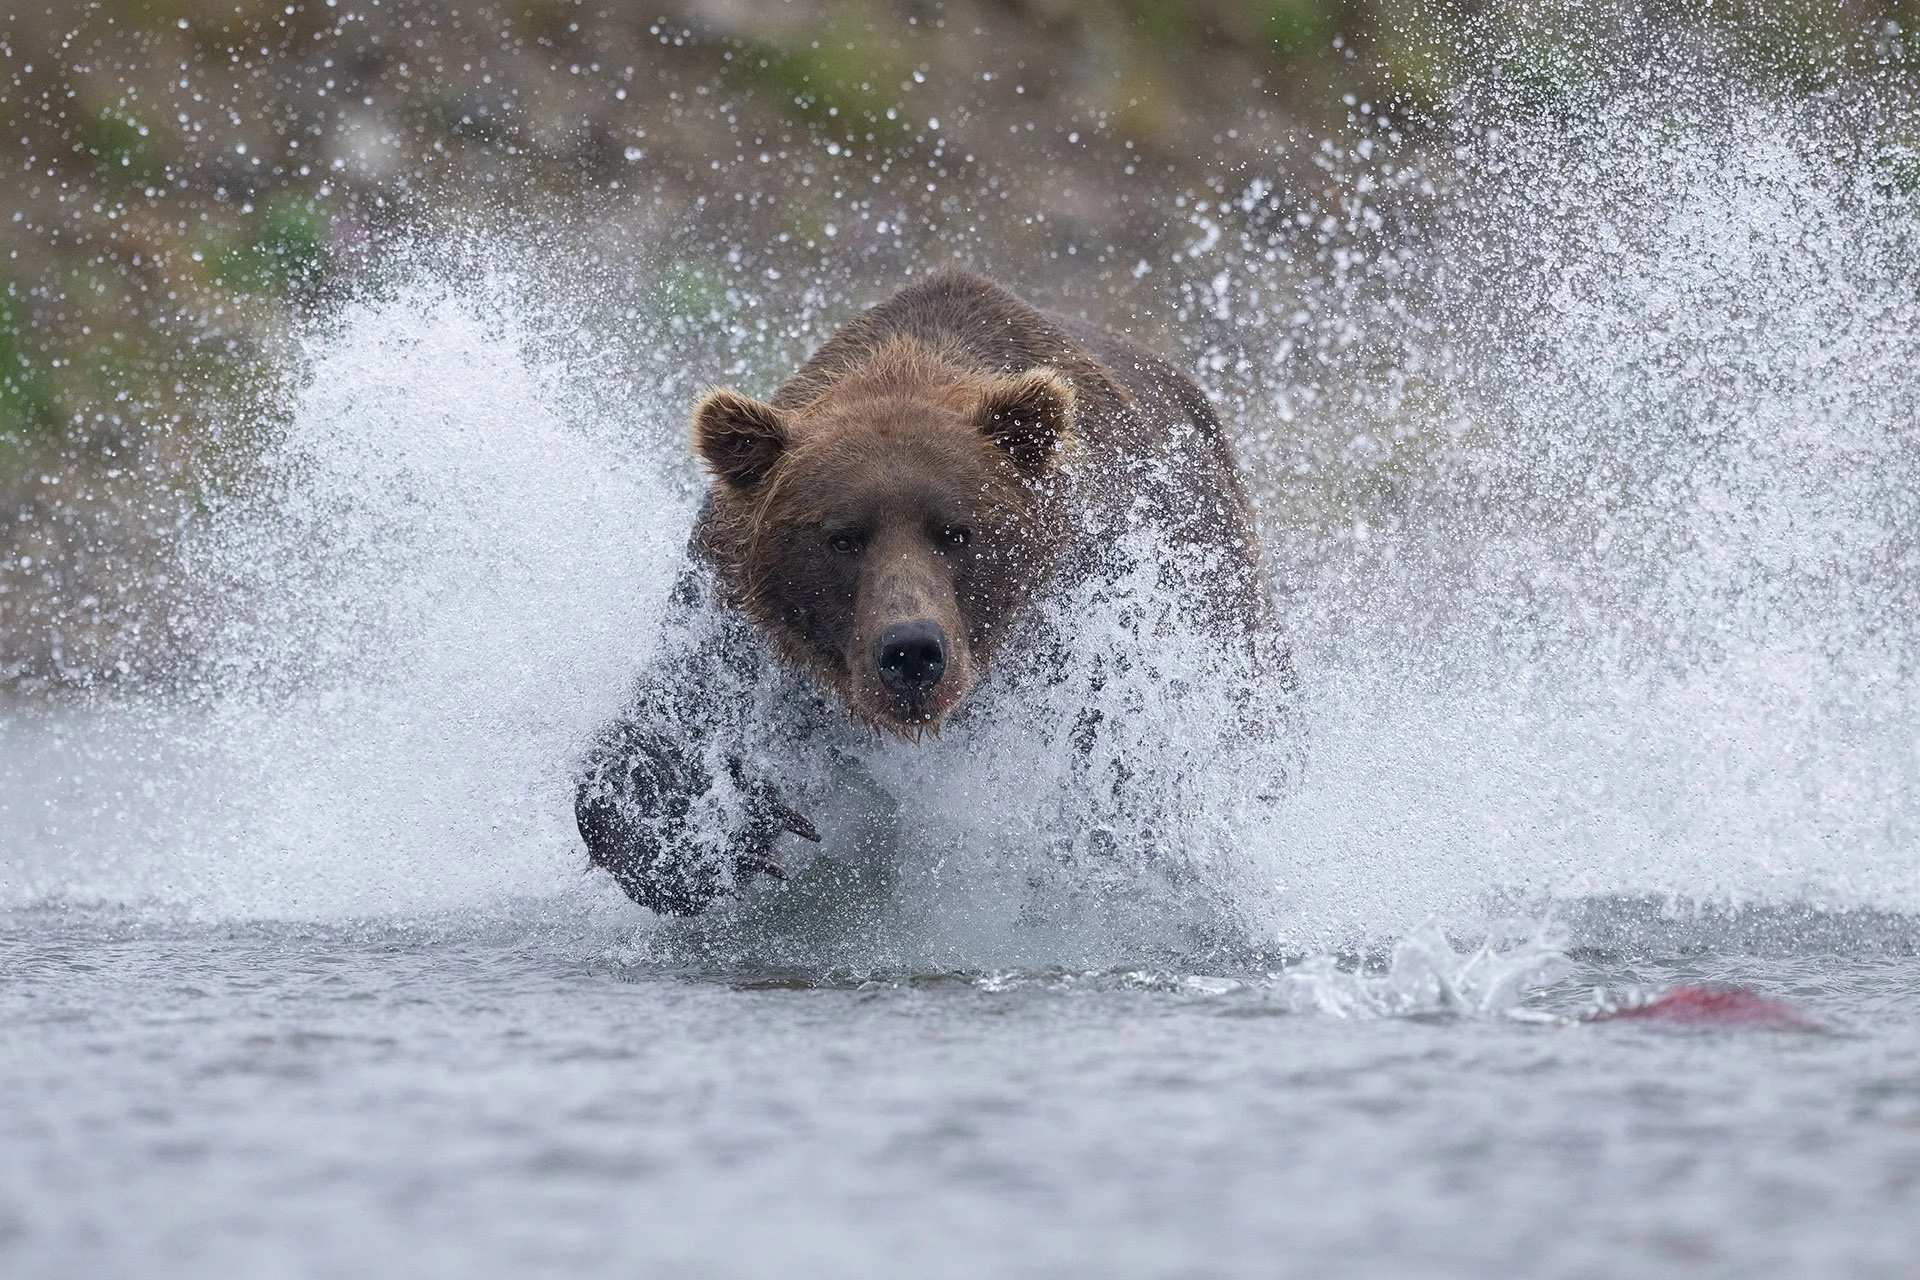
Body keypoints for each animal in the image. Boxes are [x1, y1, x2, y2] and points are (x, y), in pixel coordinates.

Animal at [575, 269, 1279, 916]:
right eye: (842, 537)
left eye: (957, 532)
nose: (911, 651)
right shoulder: (738, 617)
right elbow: (663, 727)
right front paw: (728, 822)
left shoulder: (1106, 601)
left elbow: (1127, 745)